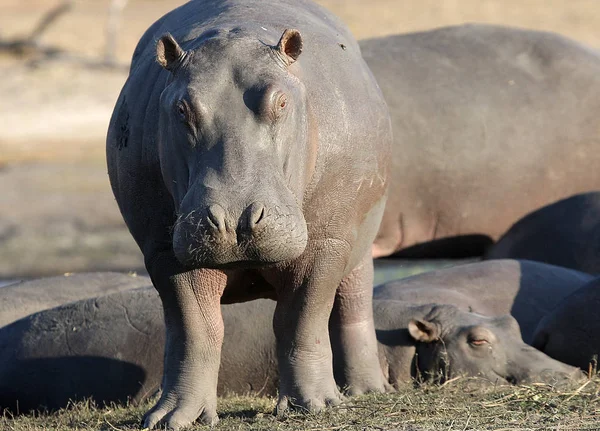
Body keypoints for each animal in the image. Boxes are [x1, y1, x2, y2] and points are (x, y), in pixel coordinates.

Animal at [105, 0, 392, 426]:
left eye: (282, 101)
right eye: (181, 108)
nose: (236, 219)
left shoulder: (327, 243)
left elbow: (301, 320)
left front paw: (316, 405)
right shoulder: (165, 251)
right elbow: (195, 330)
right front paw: (173, 418)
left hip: (358, 242)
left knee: (353, 303)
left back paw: (367, 390)